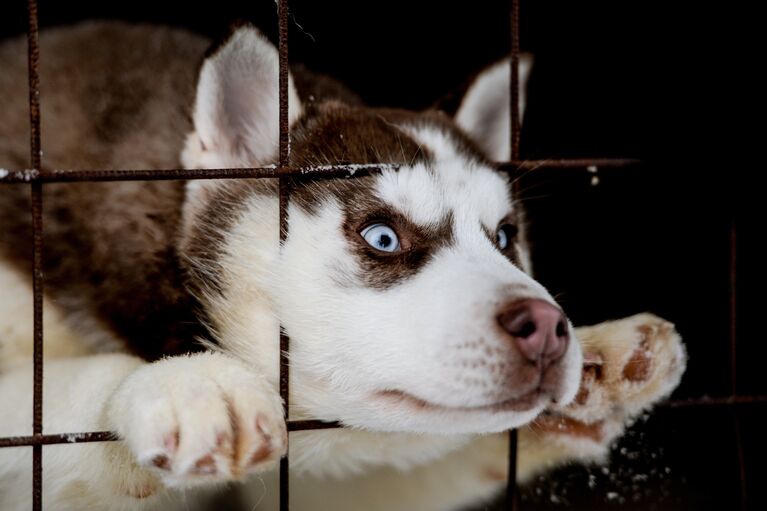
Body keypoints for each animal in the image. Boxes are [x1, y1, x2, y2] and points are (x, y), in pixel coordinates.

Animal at [0, 21, 684, 511]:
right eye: (382, 236)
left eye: (505, 236)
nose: (547, 329)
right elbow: (55, 384)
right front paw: (185, 381)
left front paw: (604, 358)